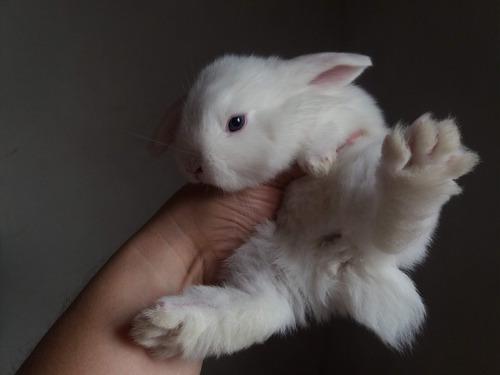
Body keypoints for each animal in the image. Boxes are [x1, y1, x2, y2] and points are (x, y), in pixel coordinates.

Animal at [131, 53, 478, 362]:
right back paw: (164, 326)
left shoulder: (344, 120)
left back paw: (422, 161)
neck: (289, 122)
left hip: (360, 184)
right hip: (265, 281)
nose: (194, 167)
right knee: (252, 310)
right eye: (184, 120)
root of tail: (331, 265)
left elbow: (328, 135)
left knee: (391, 223)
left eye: (236, 123)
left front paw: (317, 162)